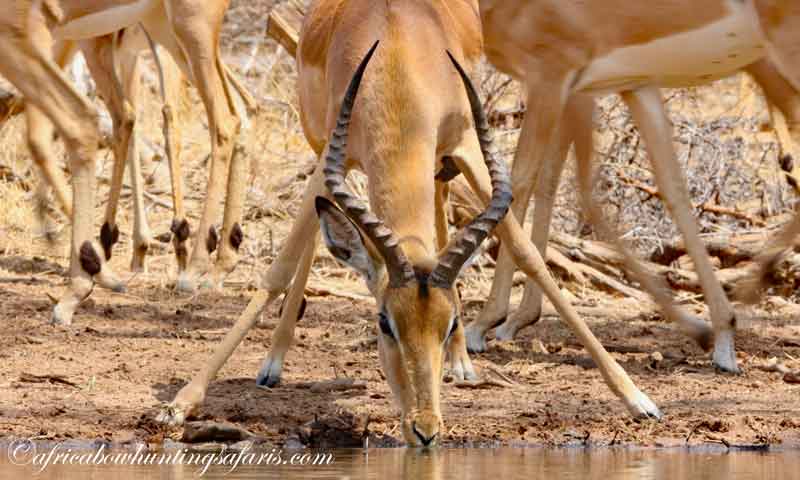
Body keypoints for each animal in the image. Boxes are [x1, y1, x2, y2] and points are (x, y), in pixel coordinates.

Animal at [157, 0, 663, 446]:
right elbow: (278, 269)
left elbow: (526, 253)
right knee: (310, 245)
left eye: (448, 323)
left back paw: (463, 366)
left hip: (442, 163)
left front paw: (638, 398)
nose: (425, 429)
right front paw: (181, 403)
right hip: (316, 140)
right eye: (384, 322)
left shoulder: (468, 146)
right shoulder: (332, 159)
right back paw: (273, 363)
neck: (398, 56)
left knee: (438, 220)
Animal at [466, 0, 800, 374]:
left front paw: (485, 323)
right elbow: (670, 188)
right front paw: (718, 333)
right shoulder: (630, 87)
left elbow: (521, 182)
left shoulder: (550, 78)